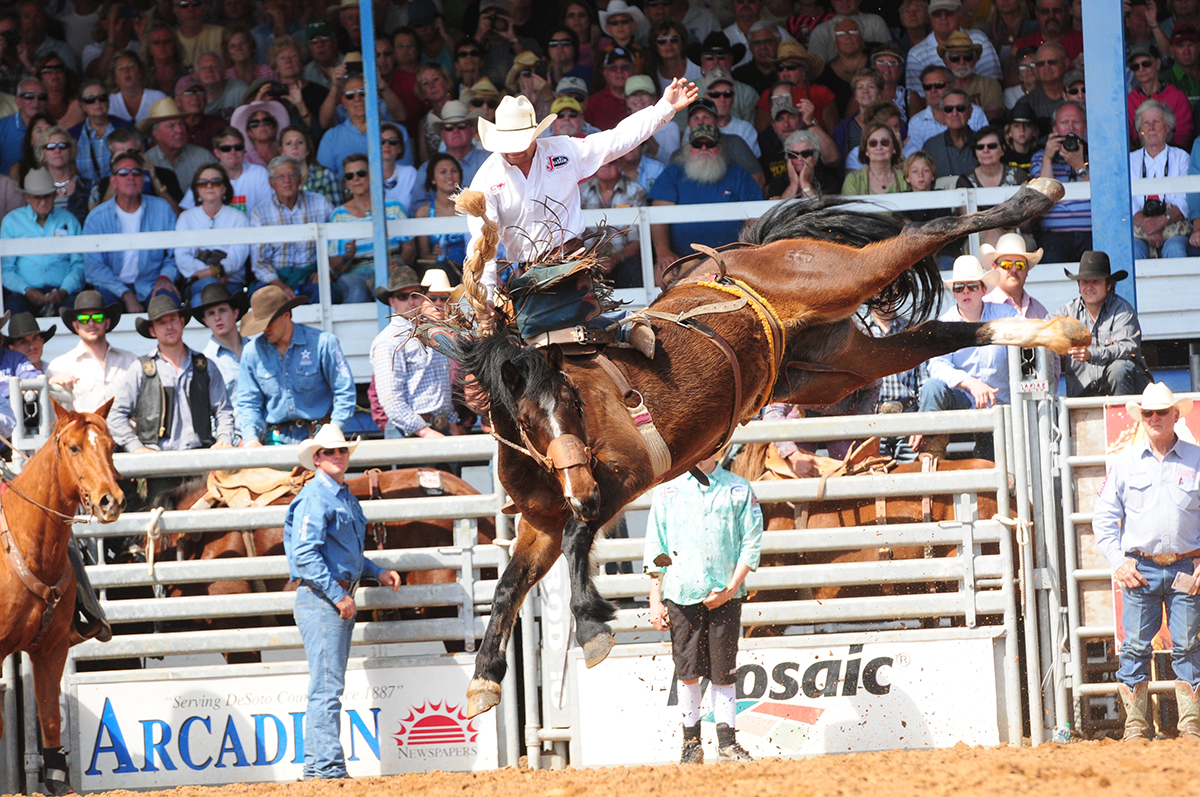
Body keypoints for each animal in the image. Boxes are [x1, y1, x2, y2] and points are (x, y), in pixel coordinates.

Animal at [0, 400, 123, 792]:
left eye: (111, 446)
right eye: (74, 448)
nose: (111, 500)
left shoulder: (50, 649)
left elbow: (52, 718)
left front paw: (58, 782)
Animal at [436, 178, 1094, 715]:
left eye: (573, 403)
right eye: (527, 418)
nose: (581, 488)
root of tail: (744, 253)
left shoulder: (620, 482)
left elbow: (578, 541)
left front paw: (594, 630)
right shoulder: (541, 521)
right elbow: (508, 586)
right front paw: (484, 679)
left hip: (837, 280)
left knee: (920, 234)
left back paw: (1035, 196)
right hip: (835, 364)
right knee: (937, 331)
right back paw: (1058, 332)